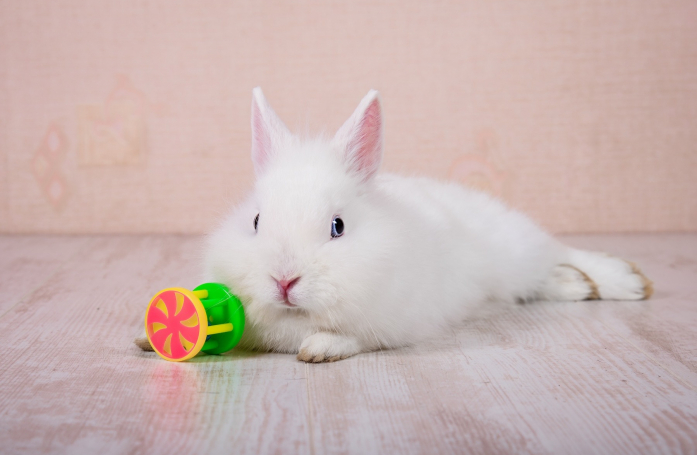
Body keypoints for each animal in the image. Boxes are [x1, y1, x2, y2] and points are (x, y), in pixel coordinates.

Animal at [195, 88, 653, 363]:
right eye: (256, 221)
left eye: (338, 226)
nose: (284, 280)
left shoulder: (396, 323)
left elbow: (353, 339)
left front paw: (319, 349)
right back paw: (576, 285)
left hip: (516, 248)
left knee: (560, 252)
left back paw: (626, 281)